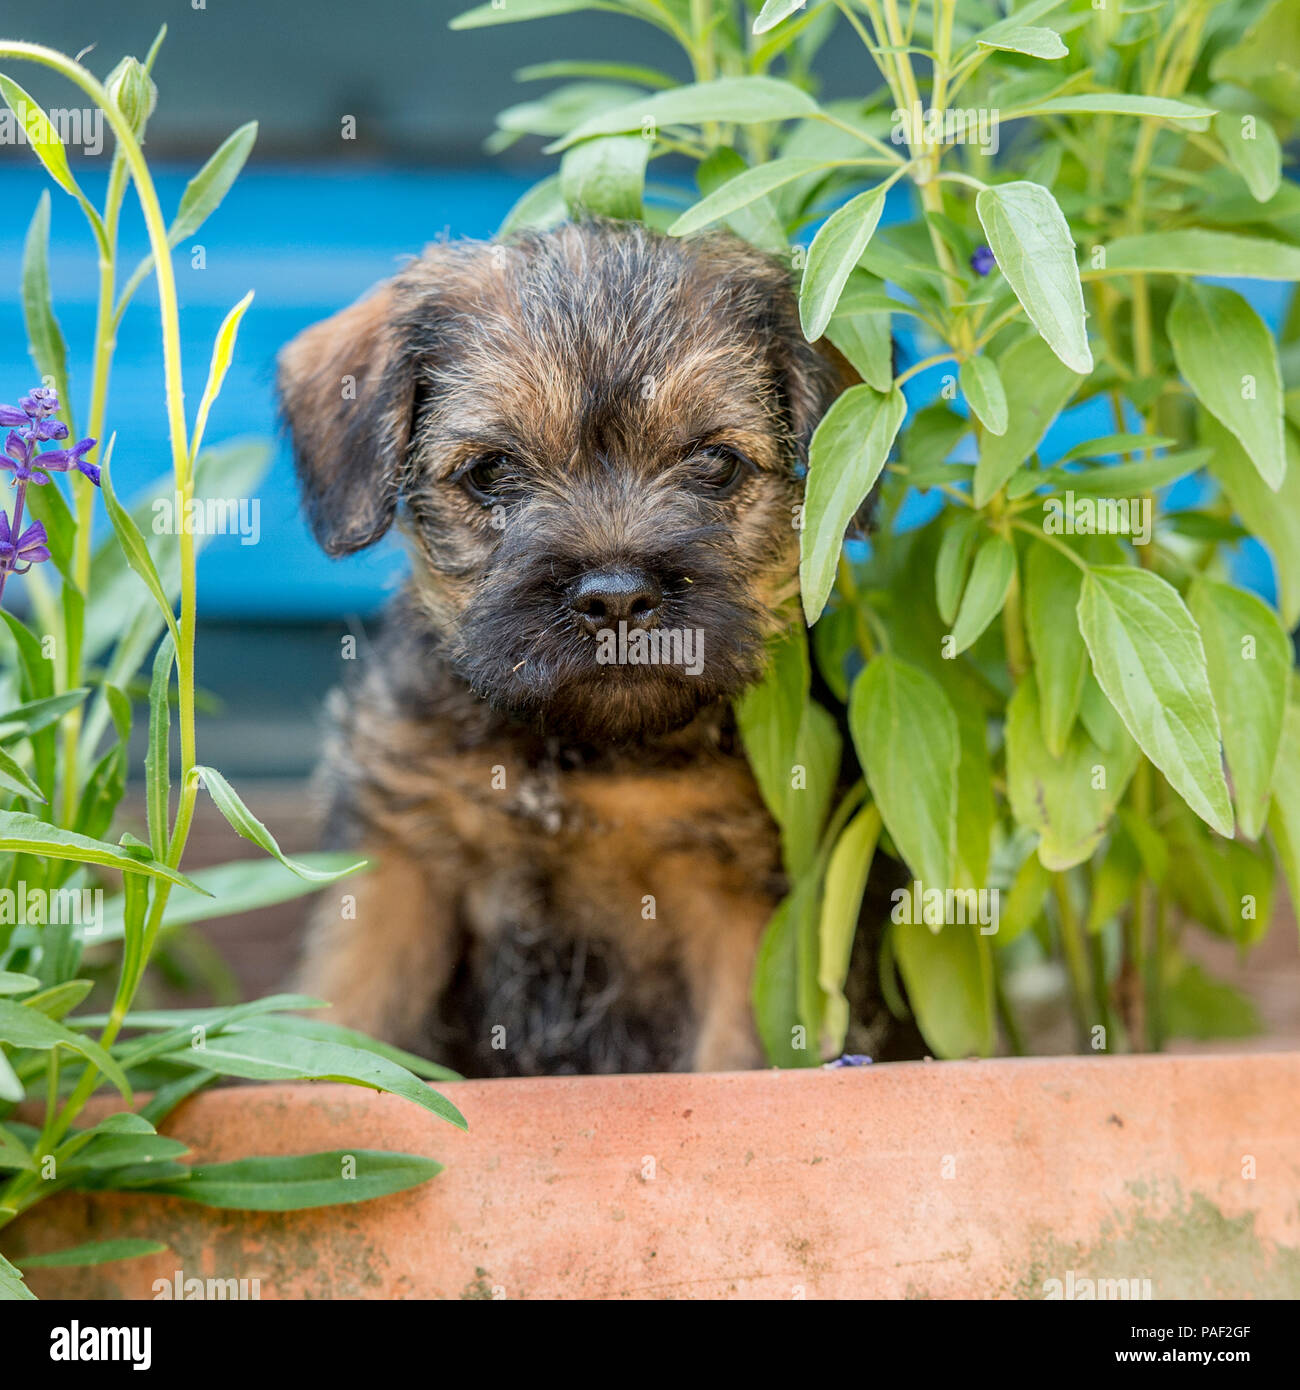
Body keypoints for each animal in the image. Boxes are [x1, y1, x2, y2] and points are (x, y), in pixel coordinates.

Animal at [279, 222, 856, 1078]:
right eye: (491, 471)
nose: (615, 596)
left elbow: (733, 1057)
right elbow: (348, 1013)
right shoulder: (400, 867)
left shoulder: (735, 899)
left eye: (715, 463)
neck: (574, 756)